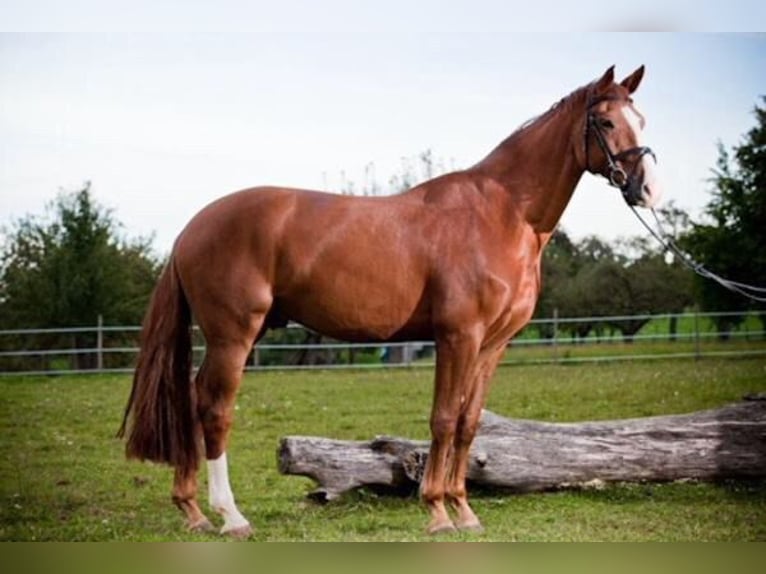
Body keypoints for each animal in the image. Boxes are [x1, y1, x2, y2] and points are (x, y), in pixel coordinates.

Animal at [118, 65, 661, 537]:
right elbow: (442, 420)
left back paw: (193, 512)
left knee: (191, 401)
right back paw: (231, 517)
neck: (503, 214)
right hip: (233, 334)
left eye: (642, 119)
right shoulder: (458, 336)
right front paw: (437, 511)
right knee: (214, 408)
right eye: (606, 121)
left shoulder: (493, 345)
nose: (648, 189)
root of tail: (191, 228)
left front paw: (464, 511)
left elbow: (468, 423)